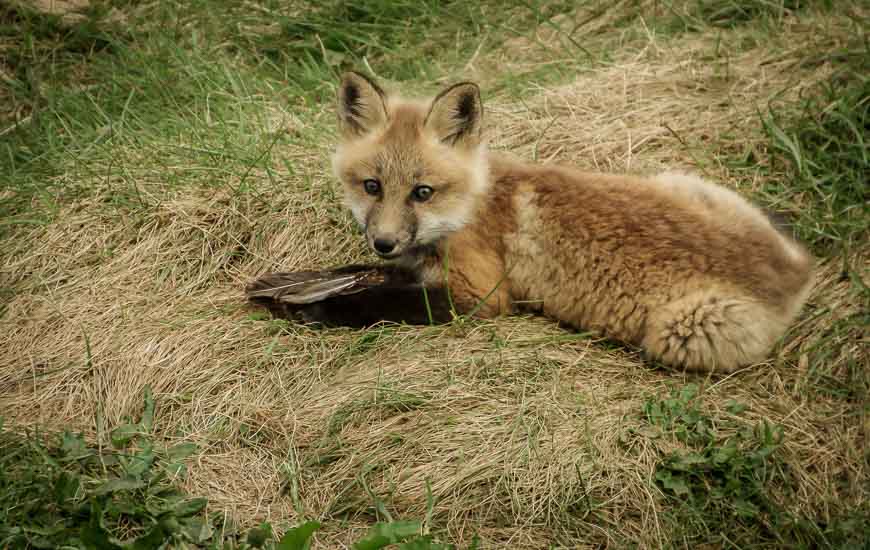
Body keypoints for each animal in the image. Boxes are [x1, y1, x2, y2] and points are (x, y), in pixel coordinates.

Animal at [247, 73, 816, 376]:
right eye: (371, 186)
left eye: (422, 192)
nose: (384, 241)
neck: (473, 203)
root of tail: (798, 270)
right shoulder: (411, 260)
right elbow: (356, 273)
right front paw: (289, 284)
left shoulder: (482, 293)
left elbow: (380, 299)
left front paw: (319, 309)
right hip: (677, 177)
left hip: (682, 330)